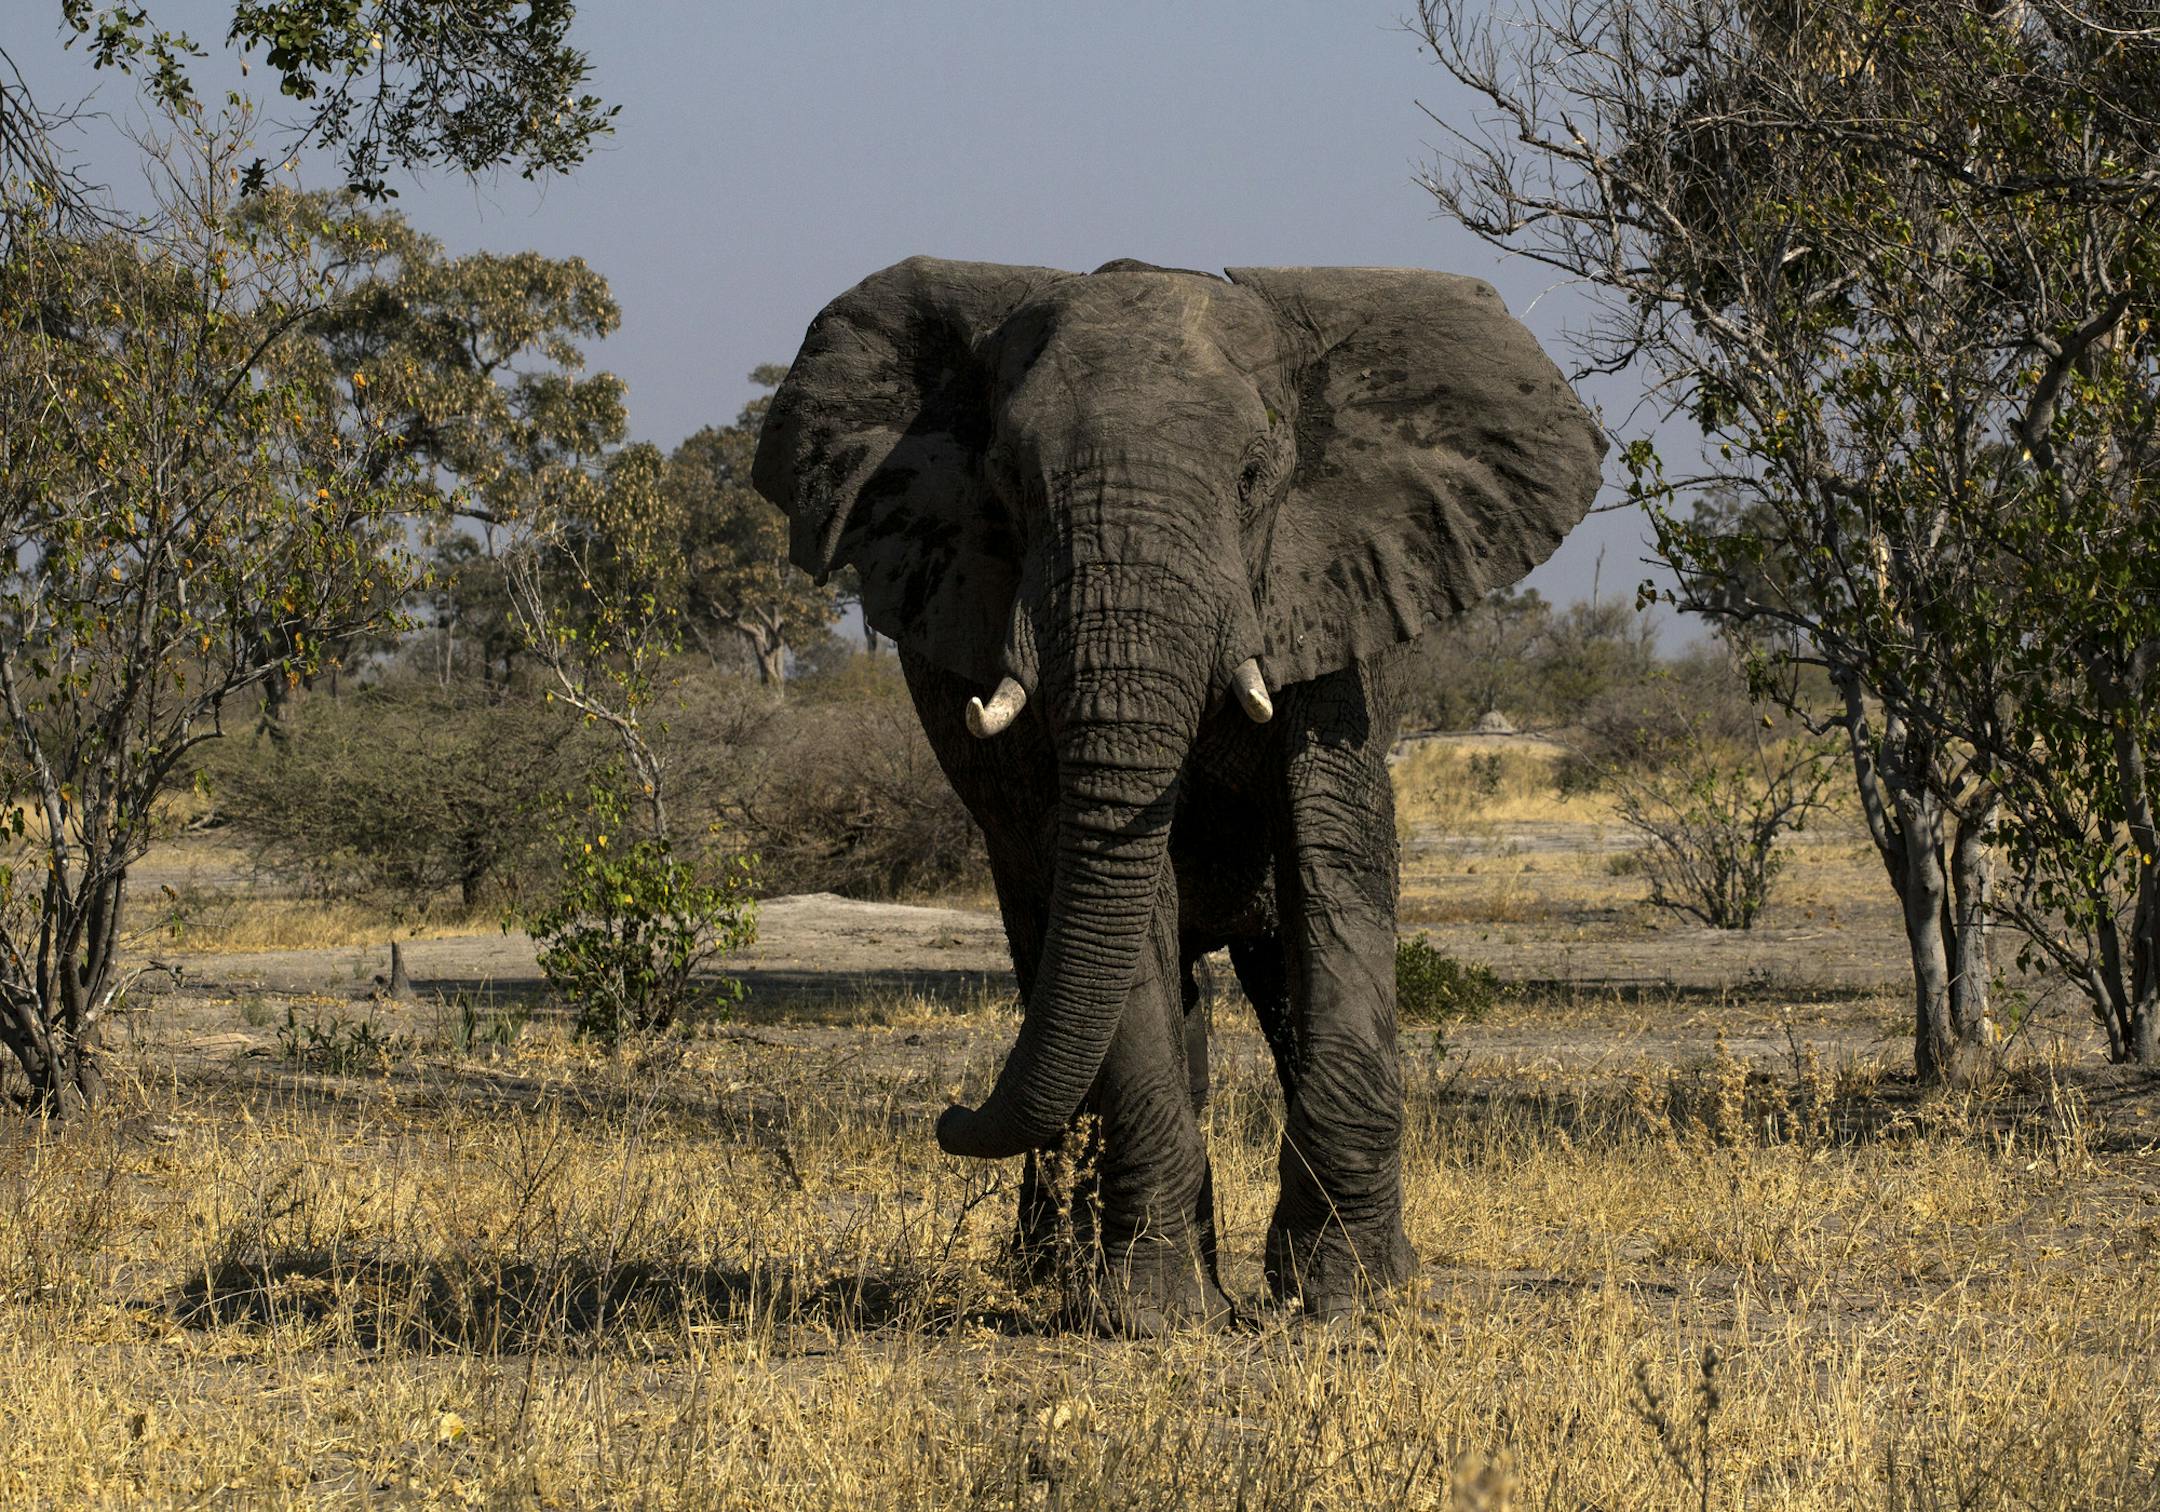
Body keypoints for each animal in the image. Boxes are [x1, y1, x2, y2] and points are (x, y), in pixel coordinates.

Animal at [751, 256, 1602, 1331]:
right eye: (1011, 480)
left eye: (1253, 477)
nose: (949, 1115)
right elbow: (1122, 908)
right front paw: (1153, 1316)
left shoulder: (1327, 590)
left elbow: (1336, 860)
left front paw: (1352, 1297)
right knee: (1062, 961)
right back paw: (1057, 1273)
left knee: (1272, 975)